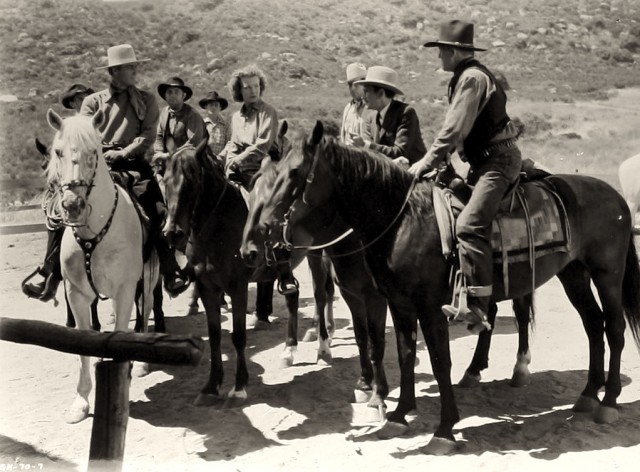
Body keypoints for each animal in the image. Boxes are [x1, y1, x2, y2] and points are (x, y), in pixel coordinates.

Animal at [45, 109, 159, 422]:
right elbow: (83, 345)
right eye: (57, 152)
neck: (93, 235)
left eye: (93, 152)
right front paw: (81, 401)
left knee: (147, 310)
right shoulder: (77, 295)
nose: (73, 205)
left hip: (147, 281)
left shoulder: (124, 290)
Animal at [254, 121, 640, 454]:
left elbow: (440, 362)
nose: (264, 227)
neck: (401, 219)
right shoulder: (399, 304)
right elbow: (404, 354)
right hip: (574, 274)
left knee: (614, 328)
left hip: (608, 274)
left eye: (294, 173)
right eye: (266, 174)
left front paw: (443, 430)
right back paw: (588, 394)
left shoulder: (428, 308)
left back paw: (607, 401)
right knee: (593, 326)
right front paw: (398, 415)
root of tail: (615, 197)